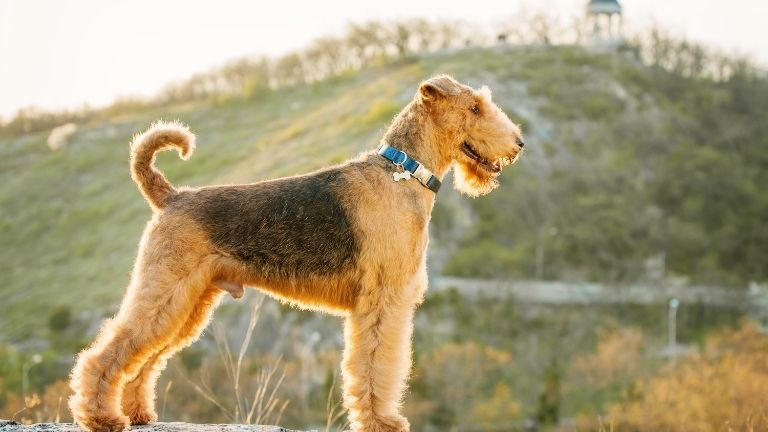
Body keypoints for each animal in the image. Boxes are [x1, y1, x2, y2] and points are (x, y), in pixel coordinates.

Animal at [69, 75, 524, 432]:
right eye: (475, 107)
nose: (518, 143)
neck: (404, 173)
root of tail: (171, 196)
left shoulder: (384, 302)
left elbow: (373, 367)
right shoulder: (383, 302)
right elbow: (376, 365)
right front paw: (382, 422)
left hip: (188, 305)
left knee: (144, 360)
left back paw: (138, 413)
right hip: (166, 291)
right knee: (104, 353)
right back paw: (101, 417)